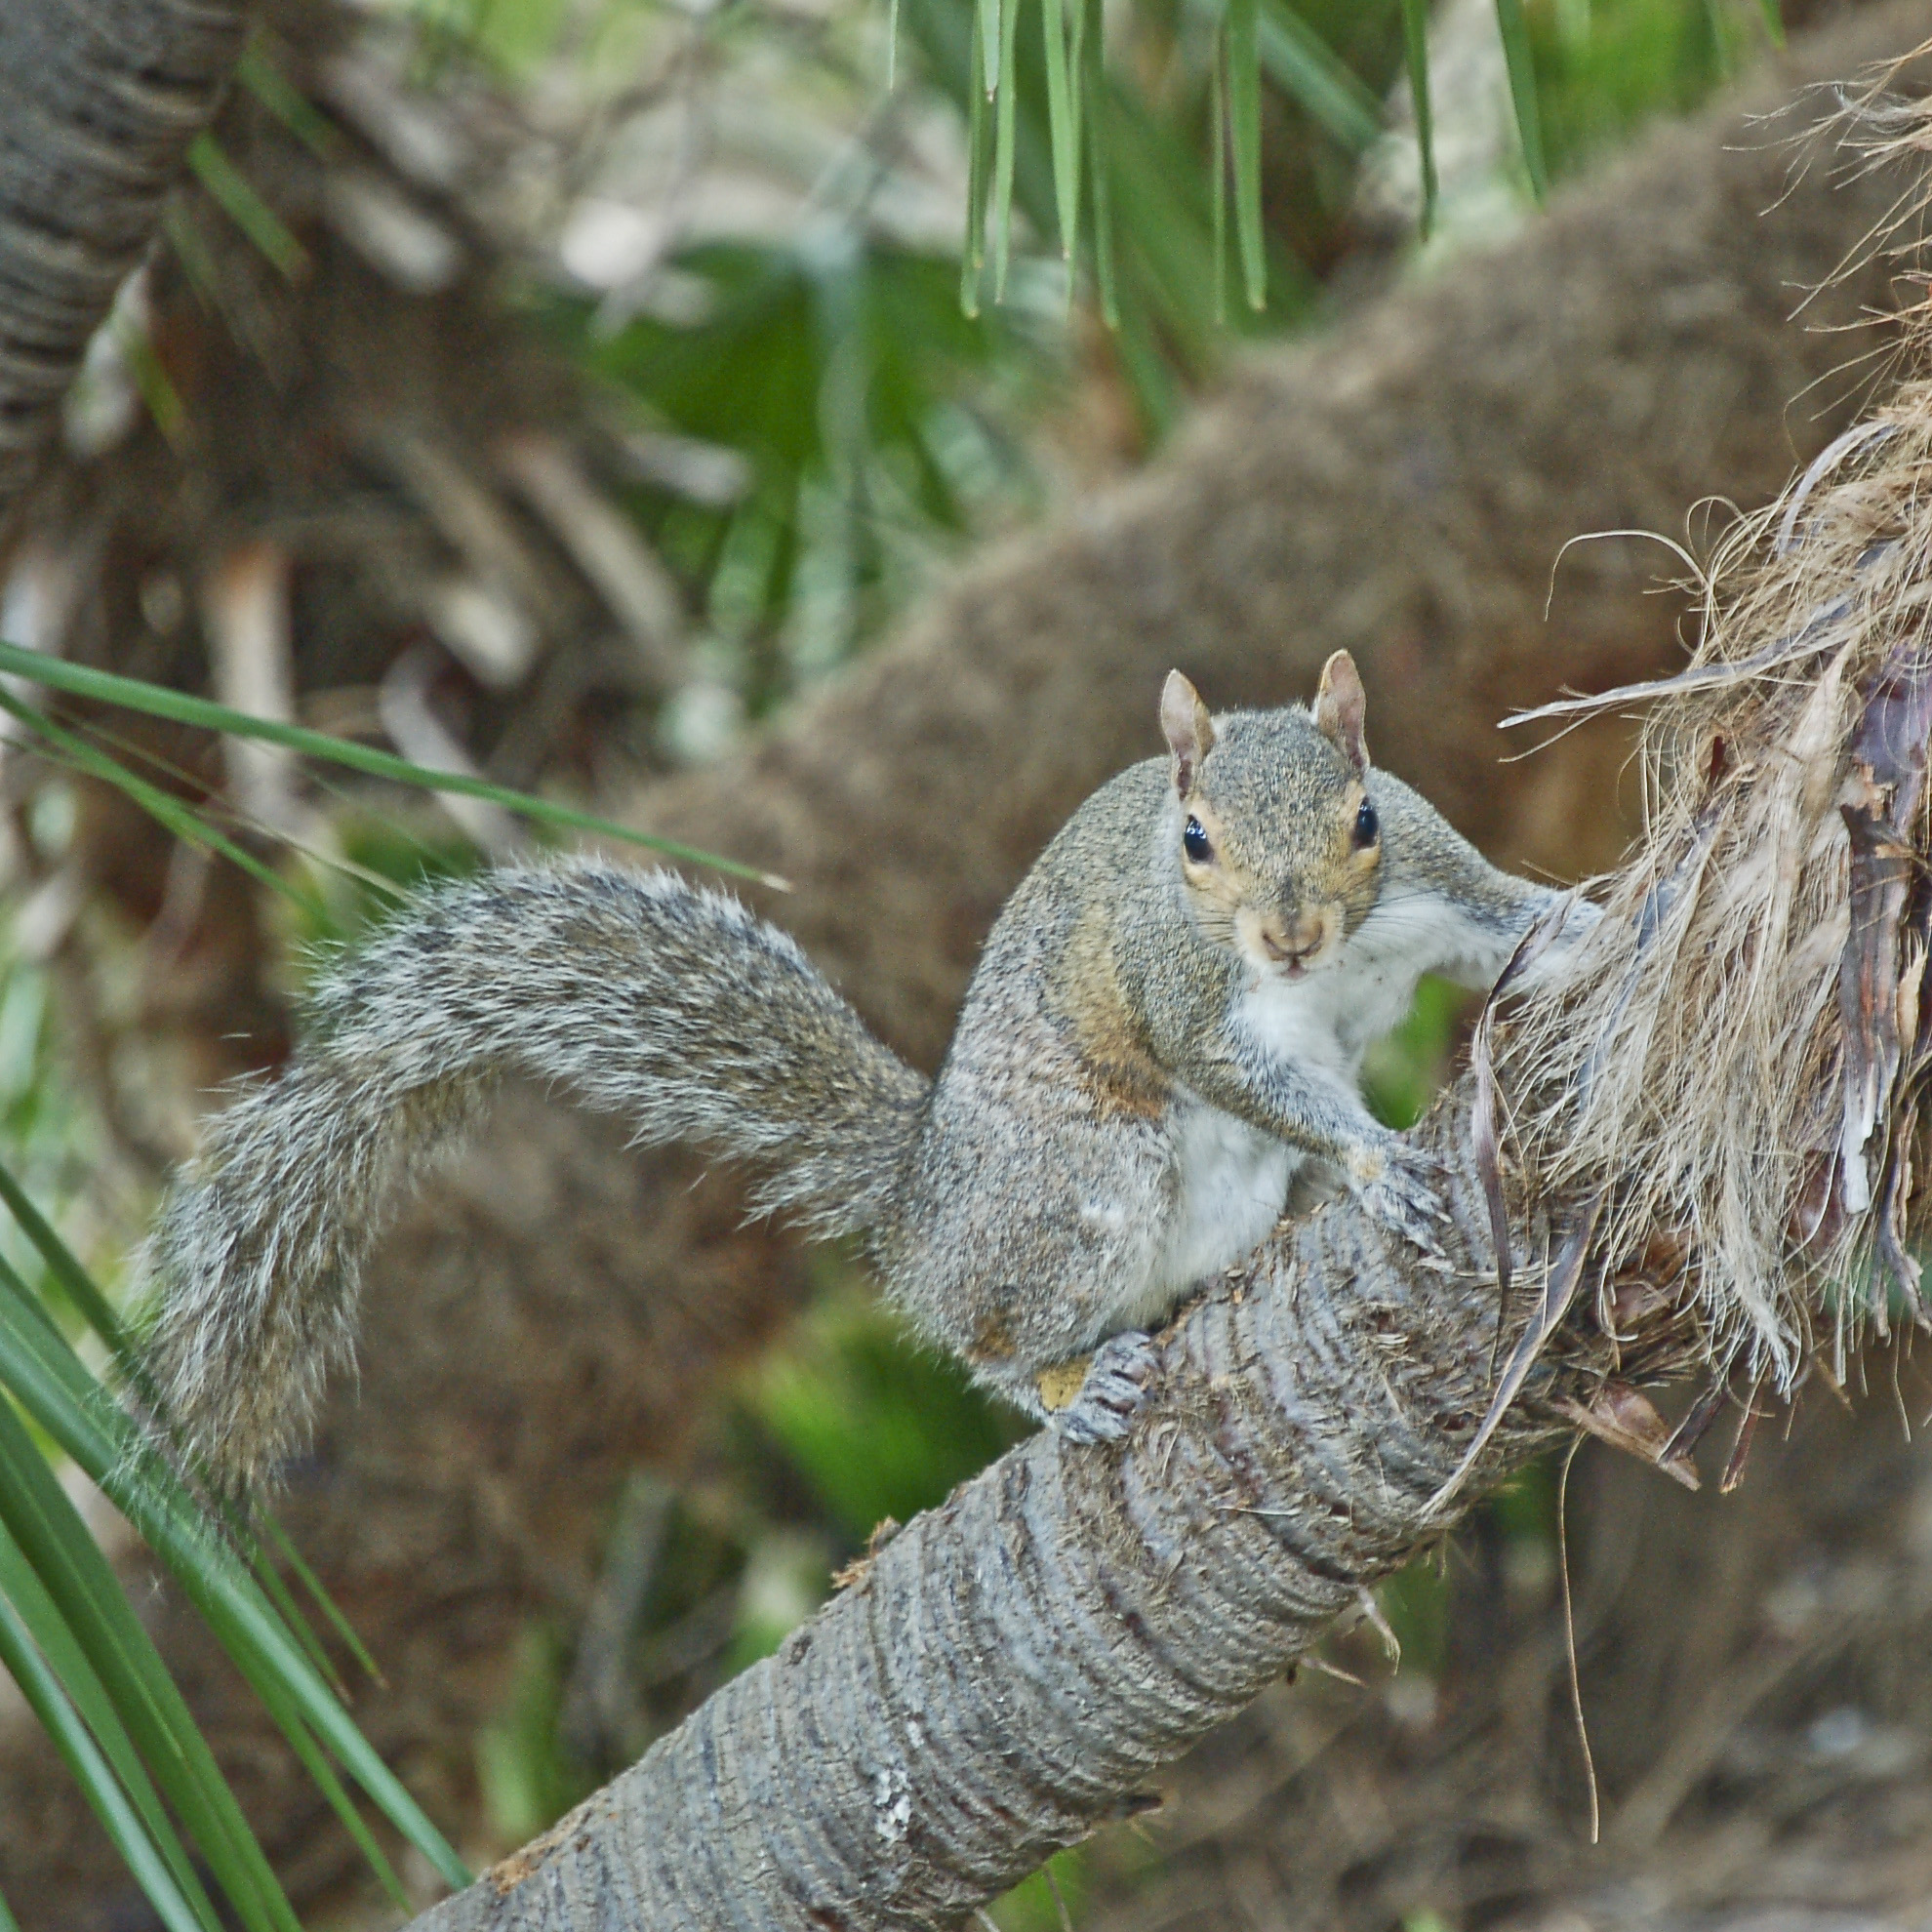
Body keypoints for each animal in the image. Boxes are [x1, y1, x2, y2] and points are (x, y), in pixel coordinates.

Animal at [139, 651, 1591, 1488]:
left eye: (1364, 818)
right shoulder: (1185, 1006)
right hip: (1084, 1182)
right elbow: (1263, 1080)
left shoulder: (1438, 891)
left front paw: (1612, 921)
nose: (1288, 938)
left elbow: (1518, 925)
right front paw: (1377, 1159)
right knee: (983, 1336)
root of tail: (920, 1207)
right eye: (1193, 840)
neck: (1319, 967)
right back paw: (1067, 1384)